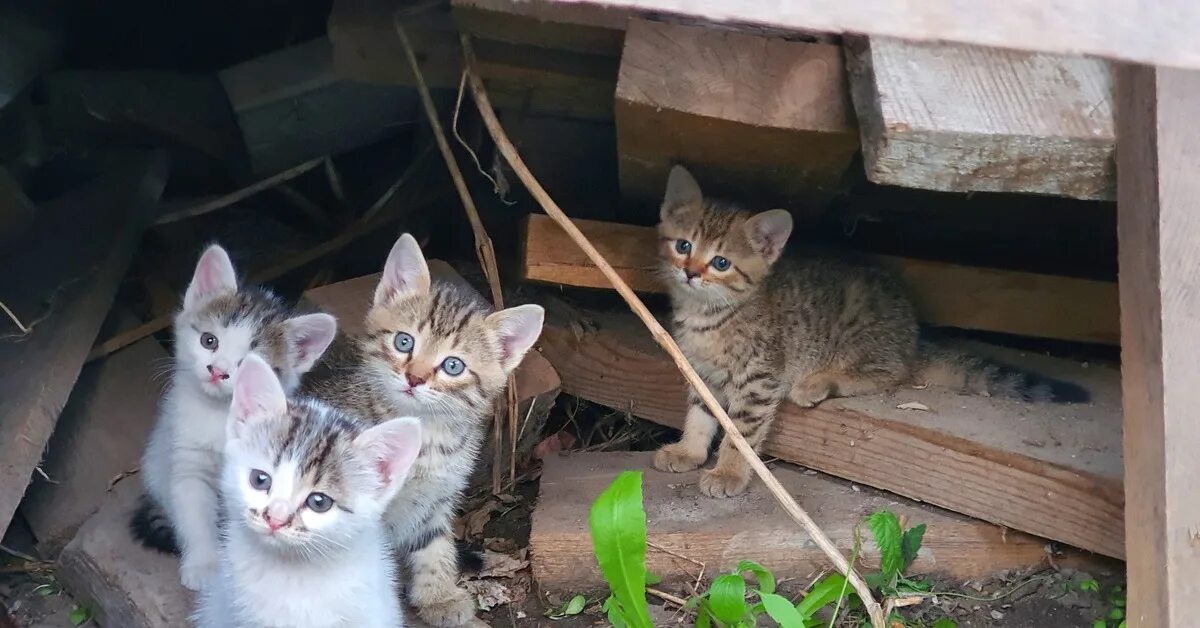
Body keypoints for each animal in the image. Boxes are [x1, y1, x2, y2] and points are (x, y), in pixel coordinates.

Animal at [131, 243, 336, 593]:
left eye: (249, 363)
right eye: (209, 340)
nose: (218, 371)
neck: (219, 417)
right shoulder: (188, 462)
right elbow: (194, 515)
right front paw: (203, 564)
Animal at [300, 234, 544, 628]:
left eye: (453, 365)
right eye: (404, 342)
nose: (414, 378)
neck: (424, 437)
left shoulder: (436, 498)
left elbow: (433, 545)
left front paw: (439, 595)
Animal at [652, 164, 1094, 499]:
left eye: (722, 263)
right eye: (683, 245)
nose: (691, 273)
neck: (707, 317)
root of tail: (912, 333)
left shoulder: (760, 376)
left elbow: (741, 429)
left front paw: (728, 471)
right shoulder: (701, 372)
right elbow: (701, 413)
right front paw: (689, 451)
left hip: (861, 336)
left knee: (893, 372)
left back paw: (818, 382)